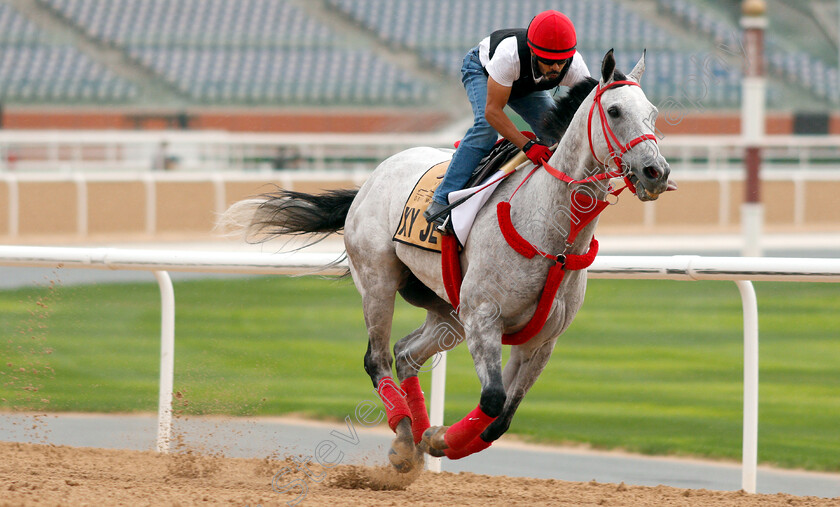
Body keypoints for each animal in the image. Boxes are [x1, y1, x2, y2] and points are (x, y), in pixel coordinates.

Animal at [221, 49, 668, 474]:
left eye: (652, 113)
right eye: (615, 111)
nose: (656, 172)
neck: (551, 231)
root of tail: (374, 176)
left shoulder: (543, 339)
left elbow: (502, 418)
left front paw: (435, 438)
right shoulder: (482, 316)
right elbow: (492, 399)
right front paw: (438, 440)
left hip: (447, 312)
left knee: (406, 354)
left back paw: (414, 437)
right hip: (380, 283)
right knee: (378, 358)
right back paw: (405, 441)